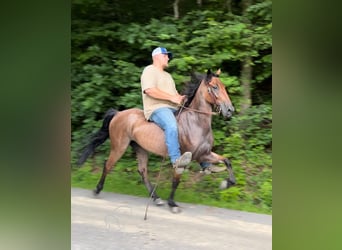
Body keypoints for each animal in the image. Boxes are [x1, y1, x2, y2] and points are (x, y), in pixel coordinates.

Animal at [77, 69, 236, 213]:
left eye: (223, 86)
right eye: (214, 87)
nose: (230, 110)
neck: (195, 122)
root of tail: (118, 114)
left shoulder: (204, 154)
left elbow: (227, 161)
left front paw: (226, 183)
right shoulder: (184, 158)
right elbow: (176, 180)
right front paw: (172, 203)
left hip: (140, 148)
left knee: (142, 171)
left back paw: (156, 198)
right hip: (119, 146)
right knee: (108, 165)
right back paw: (97, 190)